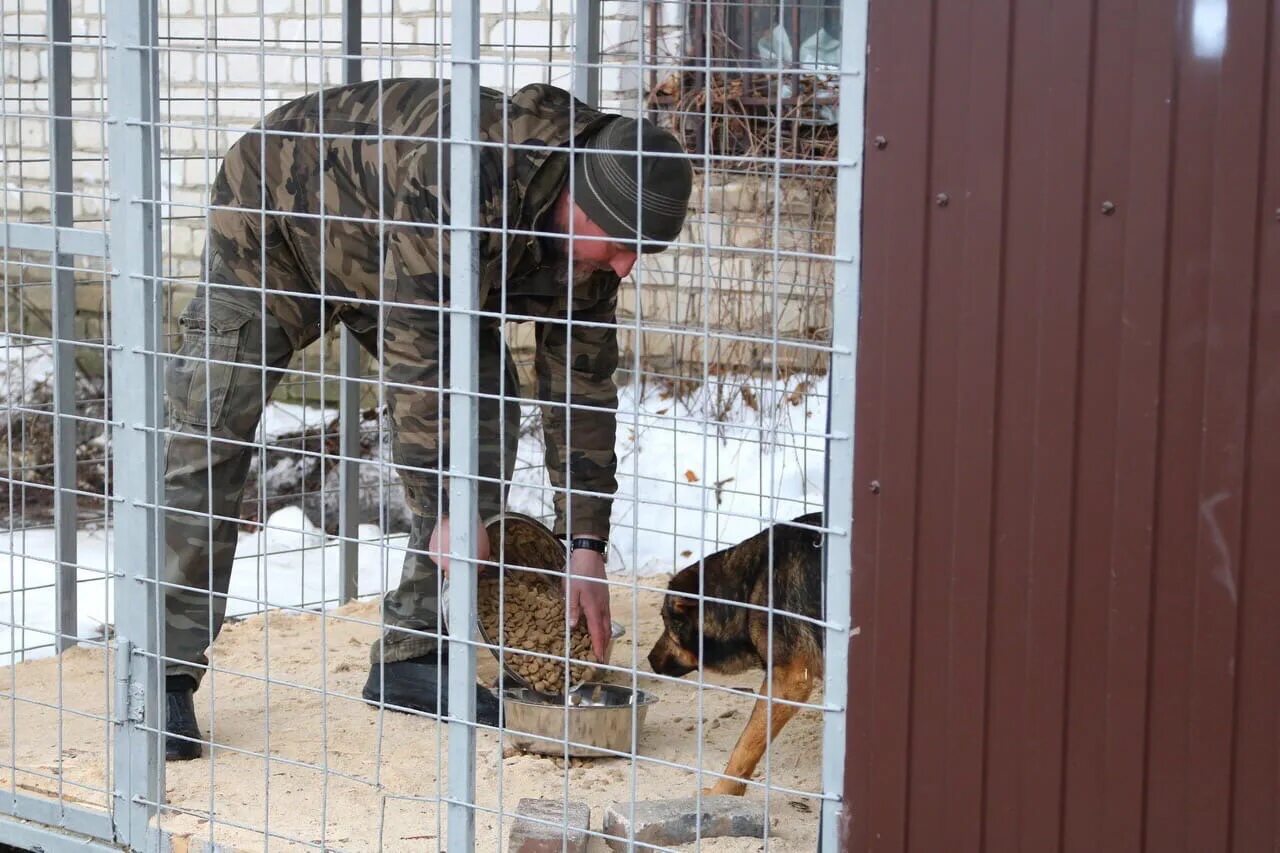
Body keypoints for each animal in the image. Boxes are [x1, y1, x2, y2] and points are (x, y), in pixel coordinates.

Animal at [645, 507, 824, 794]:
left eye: (667, 623)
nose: (650, 660)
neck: (749, 588)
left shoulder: (789, 681)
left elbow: (746, 744)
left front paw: (723, 791)